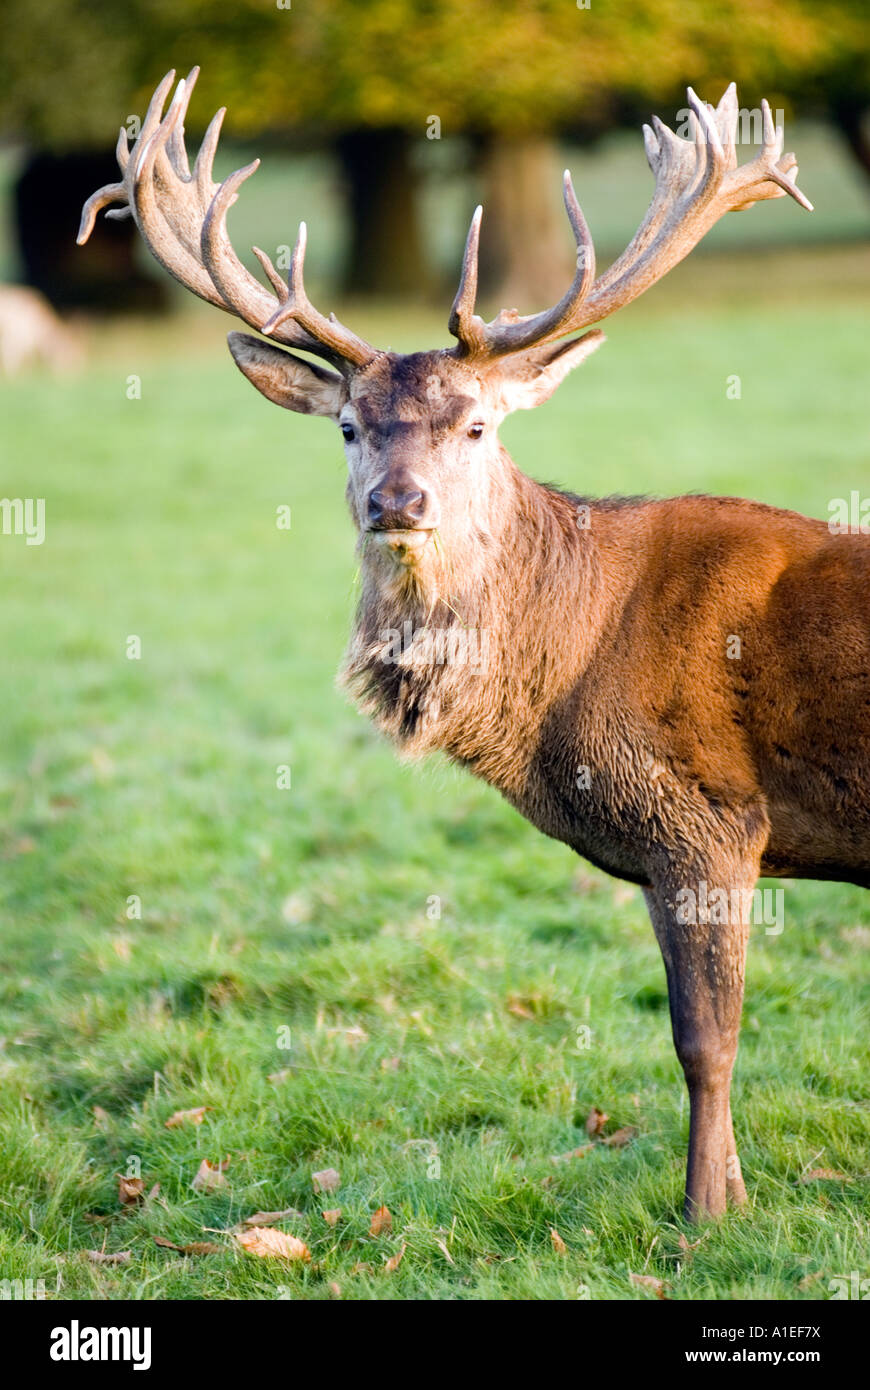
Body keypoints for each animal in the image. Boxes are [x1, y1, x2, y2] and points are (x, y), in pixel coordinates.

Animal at [79, 69, 869, 1222]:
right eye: (348, 427)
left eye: (480, 426)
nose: (396, 502)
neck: (566, 675)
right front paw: (727, 1195)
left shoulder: (710, 818)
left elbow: (705, 1040)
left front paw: (704, 1215)